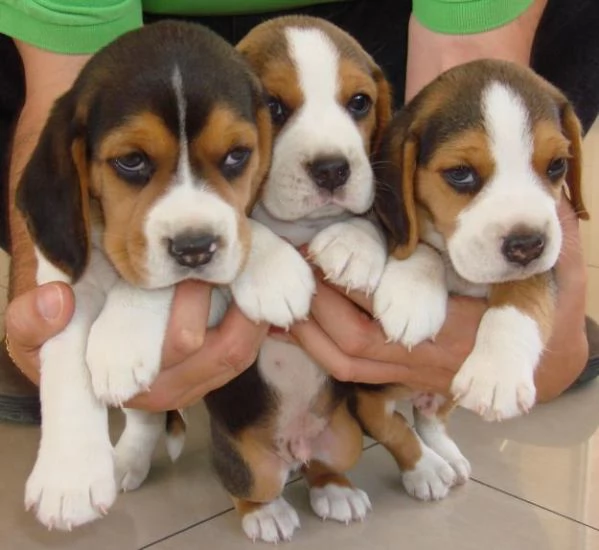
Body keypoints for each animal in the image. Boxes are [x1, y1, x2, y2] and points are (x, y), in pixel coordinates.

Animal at [11, 20, 316, 532]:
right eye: (131, 161)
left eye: (237, 155)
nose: (195, 248)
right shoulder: (63, 290)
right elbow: (67, 364)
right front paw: (69, 477)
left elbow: (176, 272)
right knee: (145, 416)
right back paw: (126, 460)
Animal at [376, 59, 592, 422]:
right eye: (460, 173)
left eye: (557, 165)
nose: (527, 246)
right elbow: (421, 242)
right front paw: (411, 293)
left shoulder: (545, 265)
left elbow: (522, 291)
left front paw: (496, 374)